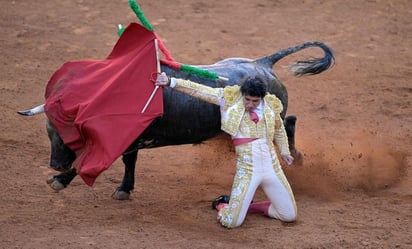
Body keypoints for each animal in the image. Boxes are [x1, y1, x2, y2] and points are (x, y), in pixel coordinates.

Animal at [20, 41, 334, 200]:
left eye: (69, 133)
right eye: (49, 131)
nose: (56, 164)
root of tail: (262, 63)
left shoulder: (123, 139)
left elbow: (99, 159)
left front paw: (61, 180)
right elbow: (124, 160)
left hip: (273, 115)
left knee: (289, 121)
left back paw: (296, 158)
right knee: (289, 121)